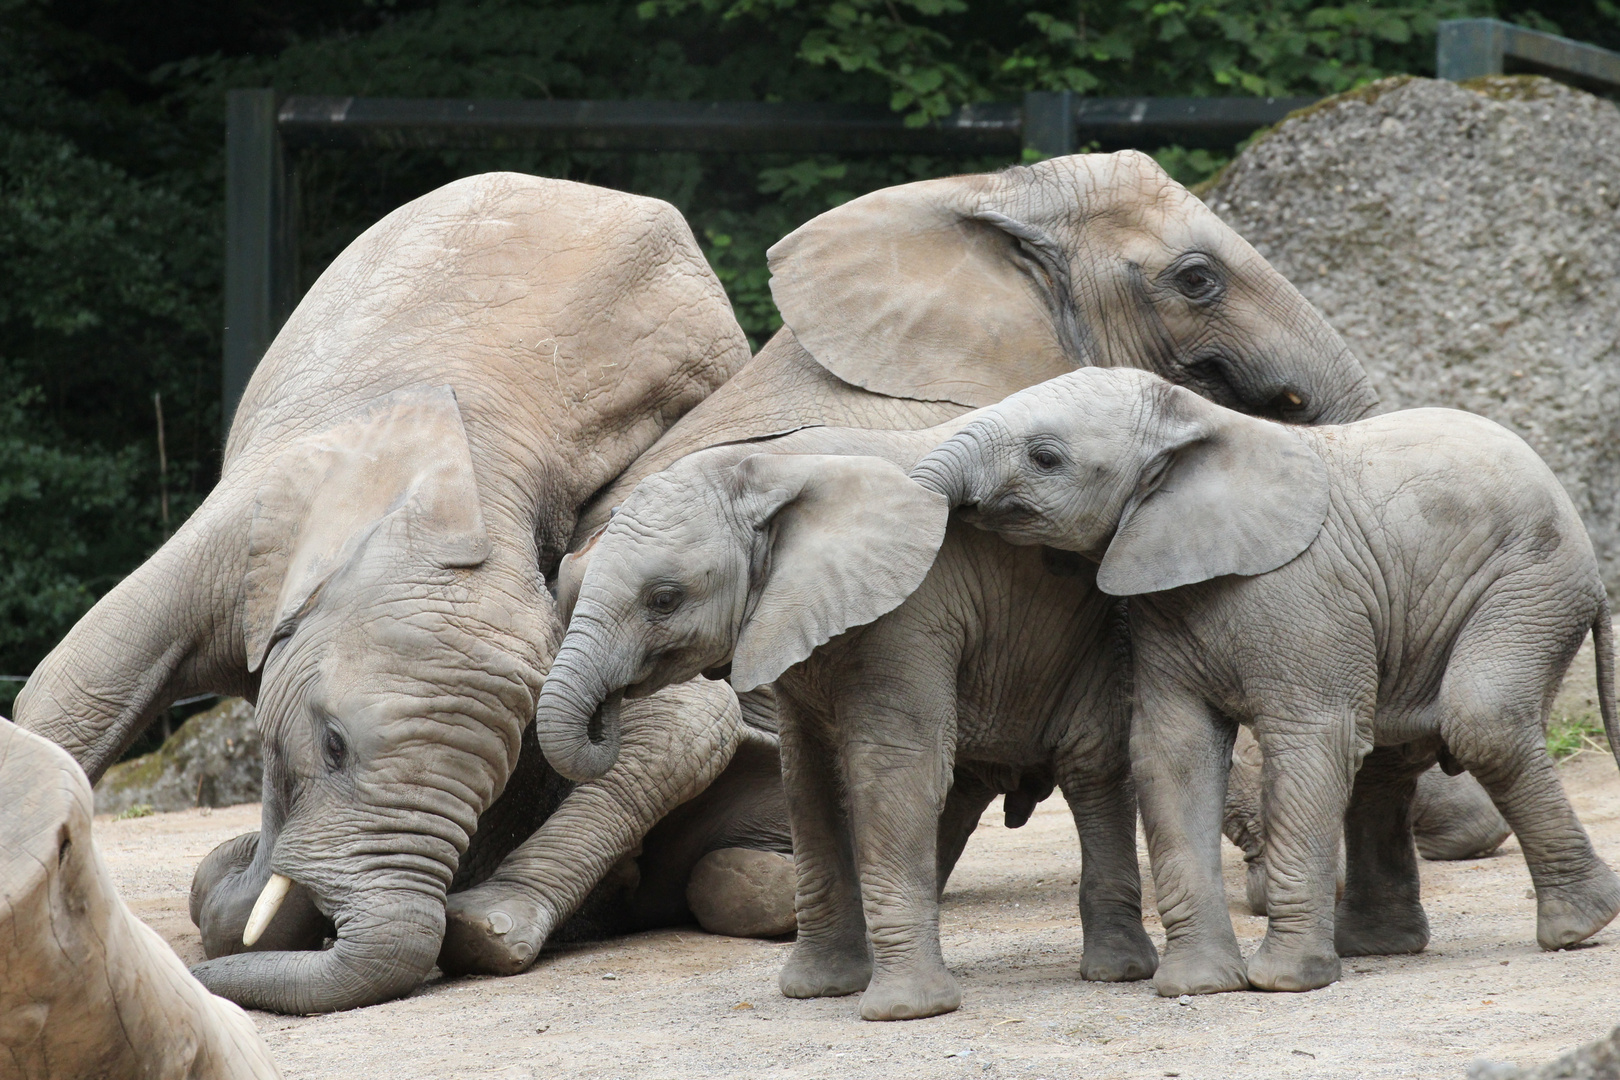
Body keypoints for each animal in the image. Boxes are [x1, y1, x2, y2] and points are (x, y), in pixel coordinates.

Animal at [537, 424, 1159, 1023]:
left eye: (664, 599)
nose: (609, 709)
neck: (770, 471)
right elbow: (809, 779)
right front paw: (819, 990)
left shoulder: (913, 603)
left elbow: (890, 769)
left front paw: (905, 1011)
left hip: (1097, 645)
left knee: (1092, 773)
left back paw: (1116, 971)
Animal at [913, 369, 1620, 997]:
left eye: (1046, 457)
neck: (1201, 422)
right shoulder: (1163, 606)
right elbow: (1172, 754)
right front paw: (1199, 986)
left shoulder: (1306, 591)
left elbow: (1311, 742)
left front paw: (1285, 983)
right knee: (1385, 762)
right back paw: (1376, 947)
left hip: (1533, 582)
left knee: (1481, 723)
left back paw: (1578, 926)